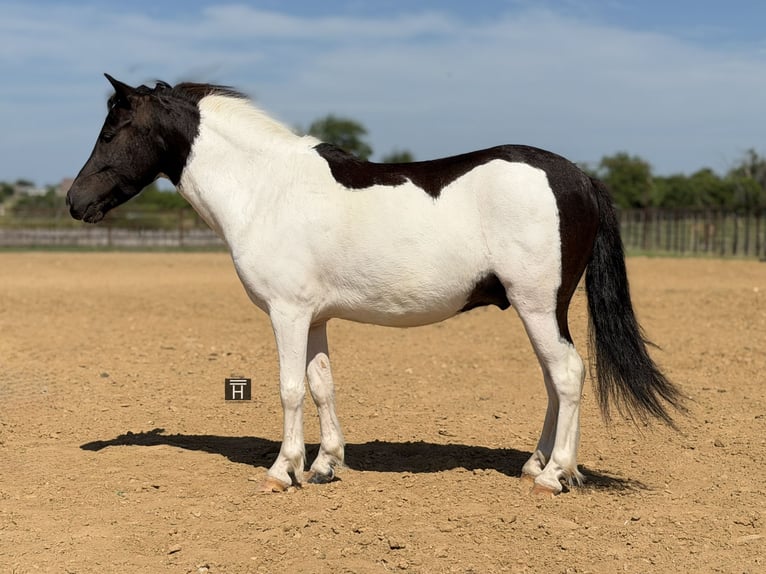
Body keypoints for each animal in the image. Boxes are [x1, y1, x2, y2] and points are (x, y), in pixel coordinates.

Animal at [67, 74, 683, 495]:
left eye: (113, 129)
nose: (75, 201)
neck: (266, 188)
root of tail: (578, 176)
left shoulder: (287, 313)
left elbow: (290, 388)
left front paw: (282, 471)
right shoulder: (313, 315)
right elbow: (321, 385)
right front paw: (324, 465)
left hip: (538, 305)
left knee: (568, 374)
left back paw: (555, 475)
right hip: (538, 311)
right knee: (556, 381)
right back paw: (538, 463)